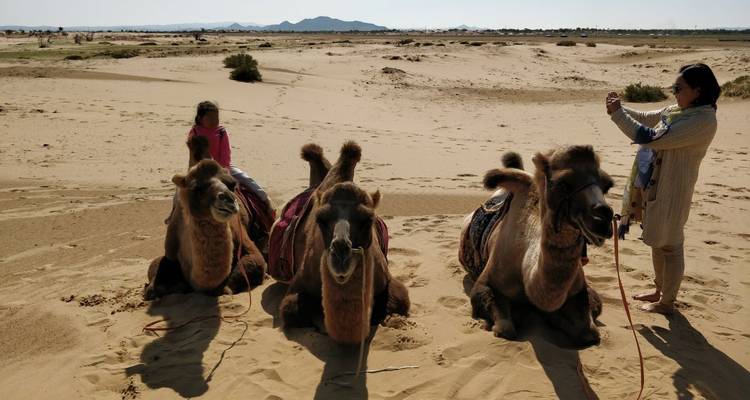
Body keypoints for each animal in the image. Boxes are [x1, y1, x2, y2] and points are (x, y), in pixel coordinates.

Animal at [144, 136, 266, 300]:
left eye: (232, 184)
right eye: (197, 188)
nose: (228, 201)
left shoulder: (248, 245)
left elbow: (254, 262)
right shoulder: (170, 249)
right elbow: (155, 272)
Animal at [276, 141, 410, 344]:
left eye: (368, 219)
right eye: (320, 219)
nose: (341, 254)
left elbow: (398, 302)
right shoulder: (298, 284)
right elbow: (290, 309)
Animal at [459, 146, 613, 346]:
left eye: (607, 185)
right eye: (561, 184)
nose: (603, 218)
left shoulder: (582, 290)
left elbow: (590, 332)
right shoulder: (485, 284)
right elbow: (505, 328)